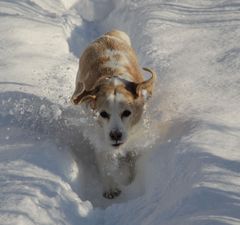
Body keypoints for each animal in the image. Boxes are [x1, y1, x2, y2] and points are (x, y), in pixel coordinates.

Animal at [71, 29, 157, 199]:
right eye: (103, 114)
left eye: (127, 113)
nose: (116, 135)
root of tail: (108, 35)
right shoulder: (100, 135)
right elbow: (104, 159)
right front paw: (111, 187)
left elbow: (130, 156)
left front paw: (128, 177)